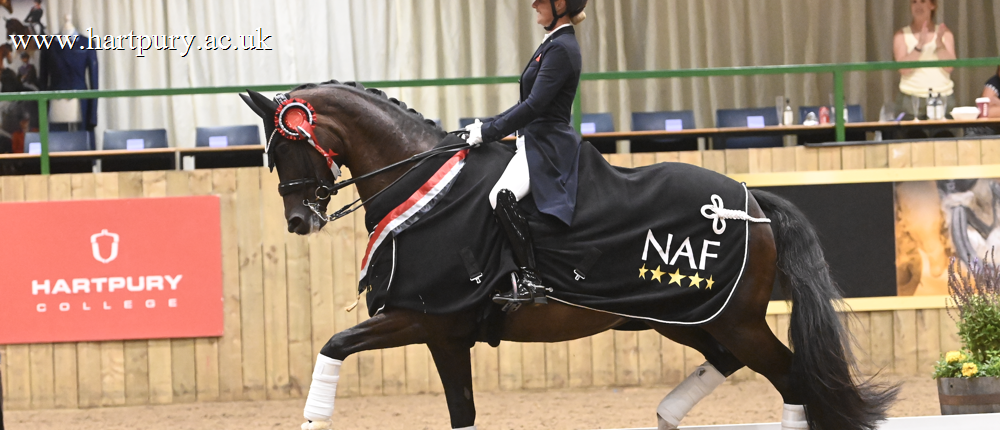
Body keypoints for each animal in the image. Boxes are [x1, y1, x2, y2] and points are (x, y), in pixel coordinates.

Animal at [240, 81, 897, 430]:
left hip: (734, 319)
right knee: (732, 363)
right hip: (684, 317)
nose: (299, 221)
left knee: (789, 376)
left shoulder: (420, 317)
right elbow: (462, 414)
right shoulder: (444, 334)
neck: (425, 187)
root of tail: (750, 201)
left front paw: (313, 417)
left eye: (287, 147)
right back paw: (666, 412)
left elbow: (333, 345)